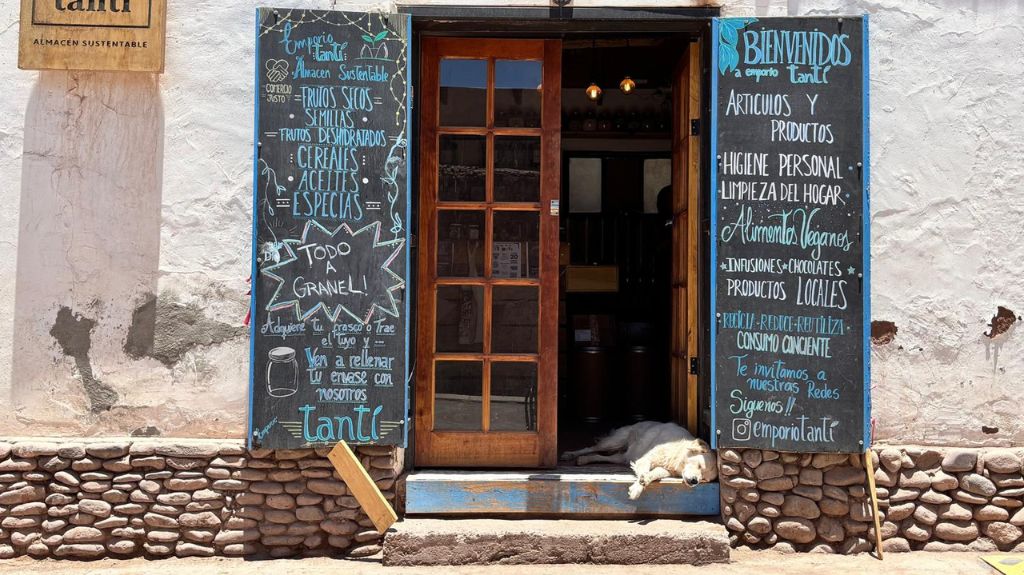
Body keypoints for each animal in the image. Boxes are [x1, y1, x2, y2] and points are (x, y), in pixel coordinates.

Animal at [561, 419, 720, 499]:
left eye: (704, 479)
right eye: (699, 466)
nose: (694, 482)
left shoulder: (664, 470)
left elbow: (653, 474)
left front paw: (644, 481)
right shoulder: (645, 459)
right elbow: (644, 472)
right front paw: (637, 488)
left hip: (623, 457)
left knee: (602, 456)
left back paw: (584, 460)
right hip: (615, 441)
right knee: (592, 448)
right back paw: (570, 455)